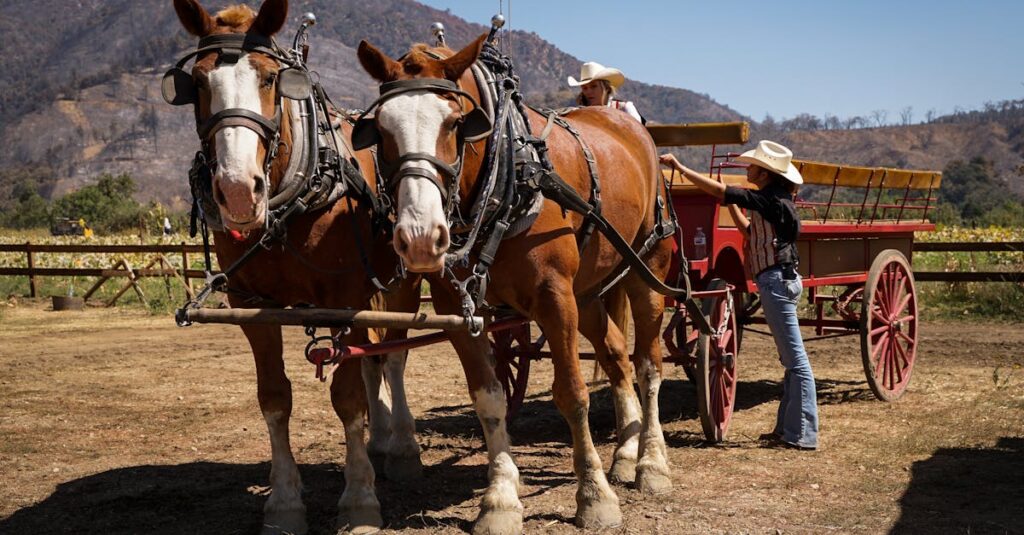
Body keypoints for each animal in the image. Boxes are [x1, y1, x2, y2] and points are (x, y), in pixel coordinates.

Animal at [168, 1, 423, 533]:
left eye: (269, 79)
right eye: (197, 83)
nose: (238, 191)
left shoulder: (345, 300)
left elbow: (347, 398)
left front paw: (359, 498)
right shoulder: (252, 305)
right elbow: (274, 398)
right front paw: (284, 502)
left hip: (404, 281)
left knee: (393, 356)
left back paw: (402, 447)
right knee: (371, 359)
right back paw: (380, 438)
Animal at [355, 35, 676, 532]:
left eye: (455, 123)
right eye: (382, 129)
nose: (420, 236)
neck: (508, 175)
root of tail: (631, 127)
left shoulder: (554, 299)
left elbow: (572, 394)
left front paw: (594, 496)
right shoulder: (459, 308)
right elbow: (489, 400)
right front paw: (500, 499)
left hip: (649, 271)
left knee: (648, 364)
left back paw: (651, 464)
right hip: (588, 293)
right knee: (617, 356)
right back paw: (624, 453)